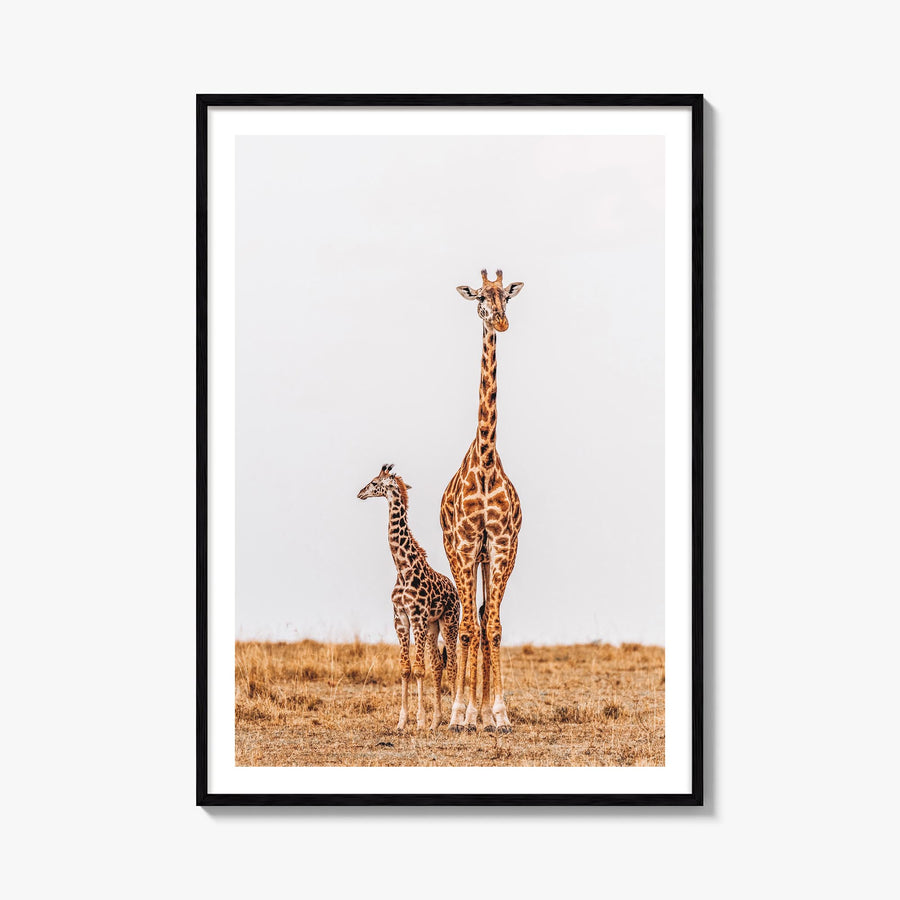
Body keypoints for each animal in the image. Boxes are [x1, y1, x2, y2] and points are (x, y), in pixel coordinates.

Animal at [357, 464, 460, 730]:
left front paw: (420, 721)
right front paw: (402, 721)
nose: (360, 493)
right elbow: (405, 668)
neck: (403, 569)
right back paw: (437, 721)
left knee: (453, 664)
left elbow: (419, 668)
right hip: (434, 626)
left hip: (449, 622)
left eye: (375, 482)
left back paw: (454, 719)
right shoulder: (400, 618)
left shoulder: (418, 616)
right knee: (438, 665)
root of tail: (455, 590)